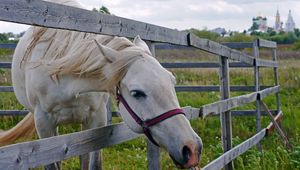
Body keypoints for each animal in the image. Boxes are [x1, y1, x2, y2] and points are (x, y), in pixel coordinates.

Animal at [0, 0, 203, 169]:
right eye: (137, 93)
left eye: (172, 82)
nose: (192, 148)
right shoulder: (44, 125)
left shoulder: (96, 119)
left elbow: (93, 163)